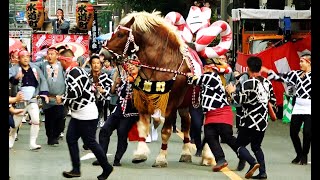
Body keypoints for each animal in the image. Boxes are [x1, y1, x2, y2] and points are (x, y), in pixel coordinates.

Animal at [100, 11, 201, 167]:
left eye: (121, 34)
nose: (103, 53)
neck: (161, 63)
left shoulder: (171, 103)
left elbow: (166, 131)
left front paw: (161, 158)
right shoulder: (143, 99)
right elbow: (143, 127)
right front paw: (140, 153)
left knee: (189, 123)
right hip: (183, 104)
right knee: (186, 122)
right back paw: (185, 152)